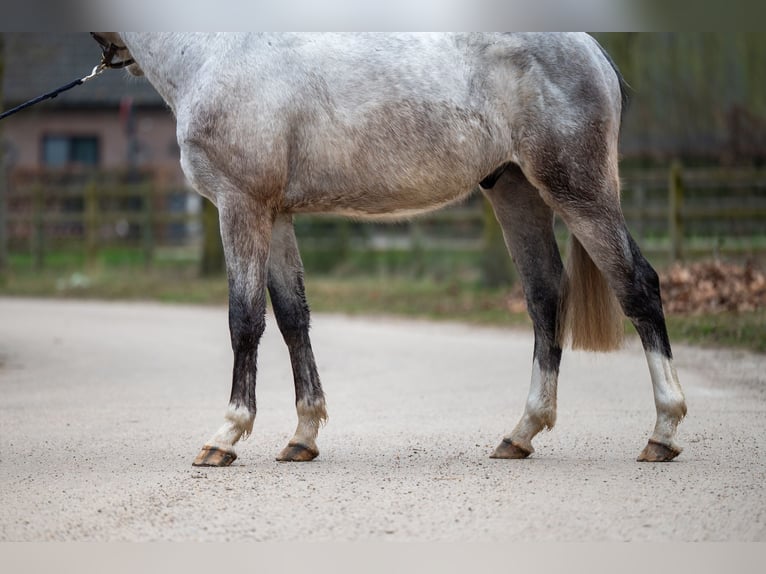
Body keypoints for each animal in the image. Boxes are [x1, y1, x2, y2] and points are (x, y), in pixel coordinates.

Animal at [93, 31, 688, 466]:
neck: (214, 47)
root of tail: (591, 49)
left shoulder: (240, 205)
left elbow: (245, 320)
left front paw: (226, 435)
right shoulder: (276, 215)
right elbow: (292, 317)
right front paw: (303, 436)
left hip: (577, 191)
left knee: (637, 285)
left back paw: (662, 432)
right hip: (516, 190)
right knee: (544, 296)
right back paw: (520, 433)